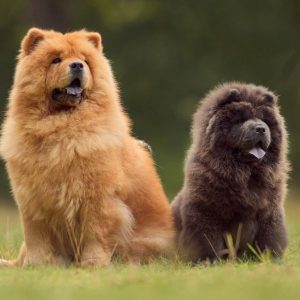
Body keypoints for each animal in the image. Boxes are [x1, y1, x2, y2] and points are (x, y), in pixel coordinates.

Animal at [0, 28, 175, 268]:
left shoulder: (96, 198)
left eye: (84, 61)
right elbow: (36, 237)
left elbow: (95, 233)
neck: (60, 128)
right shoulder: (31, 200)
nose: (77, 65)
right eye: (56, 60)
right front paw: (37, 265)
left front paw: (93, 263)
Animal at [172, 82, 290, 262]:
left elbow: (269, 236)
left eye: (264, 120)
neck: (246, 176)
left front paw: (270, 259)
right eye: (241, 120)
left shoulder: (269, 212)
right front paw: (207, 261)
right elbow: (207, 238)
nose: (261, 129)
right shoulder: (205, 212)